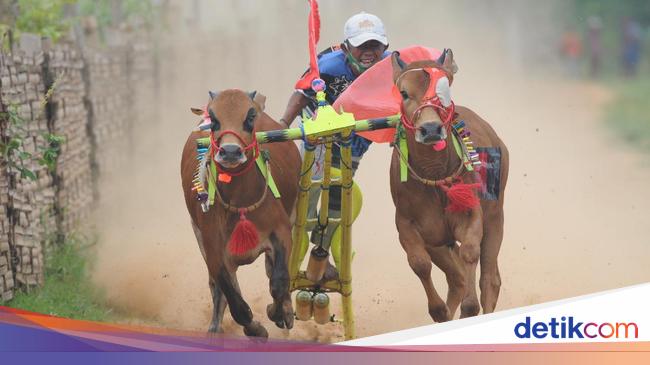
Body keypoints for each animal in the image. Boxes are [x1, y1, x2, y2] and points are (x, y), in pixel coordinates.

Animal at [180, 89, 302, 338]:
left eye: (250, 116)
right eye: (213, 118)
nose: (230, 152)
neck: (240, 201)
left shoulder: (282, 230)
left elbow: (279, 280)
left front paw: (279, 312)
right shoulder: (212, 248)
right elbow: (233, 299)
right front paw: (256, 328)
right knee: (219, 290)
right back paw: (215, 329)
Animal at [390, 49, 506, 320]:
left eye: (445, 90)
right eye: (404, 93)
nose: (431, 128)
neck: (433, 175)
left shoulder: (471, 213)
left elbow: (470, 252)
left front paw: (470, 307)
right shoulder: (409, 226)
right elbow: (420, 263)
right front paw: (440, 311)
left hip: (496, 216)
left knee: (489, 279)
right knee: (457, 278)